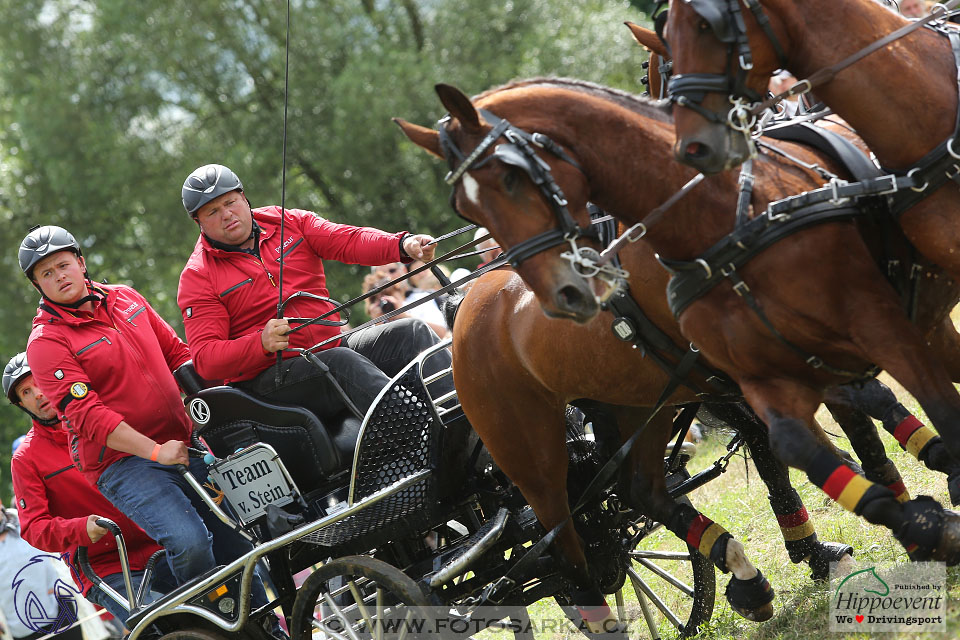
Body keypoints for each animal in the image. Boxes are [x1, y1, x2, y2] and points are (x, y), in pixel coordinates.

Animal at [394, 79, 960, 568]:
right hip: (537, 465)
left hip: (634, 405)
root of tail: (460, 313)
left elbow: (864, 411)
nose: (569, 295)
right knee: (573, 561)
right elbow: (831, 427)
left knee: (637, 488)